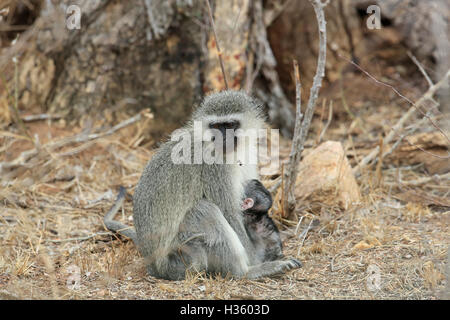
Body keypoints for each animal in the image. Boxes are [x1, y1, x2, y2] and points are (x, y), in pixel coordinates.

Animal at [106, 90, 302, 280]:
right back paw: (245, 272)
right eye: (216, 127)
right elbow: (230, 213)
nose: (223, 139)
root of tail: (154, 265)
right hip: (183, 254)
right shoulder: (214, 167)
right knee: (204, 210)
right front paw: (257, 259)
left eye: (230, 125)